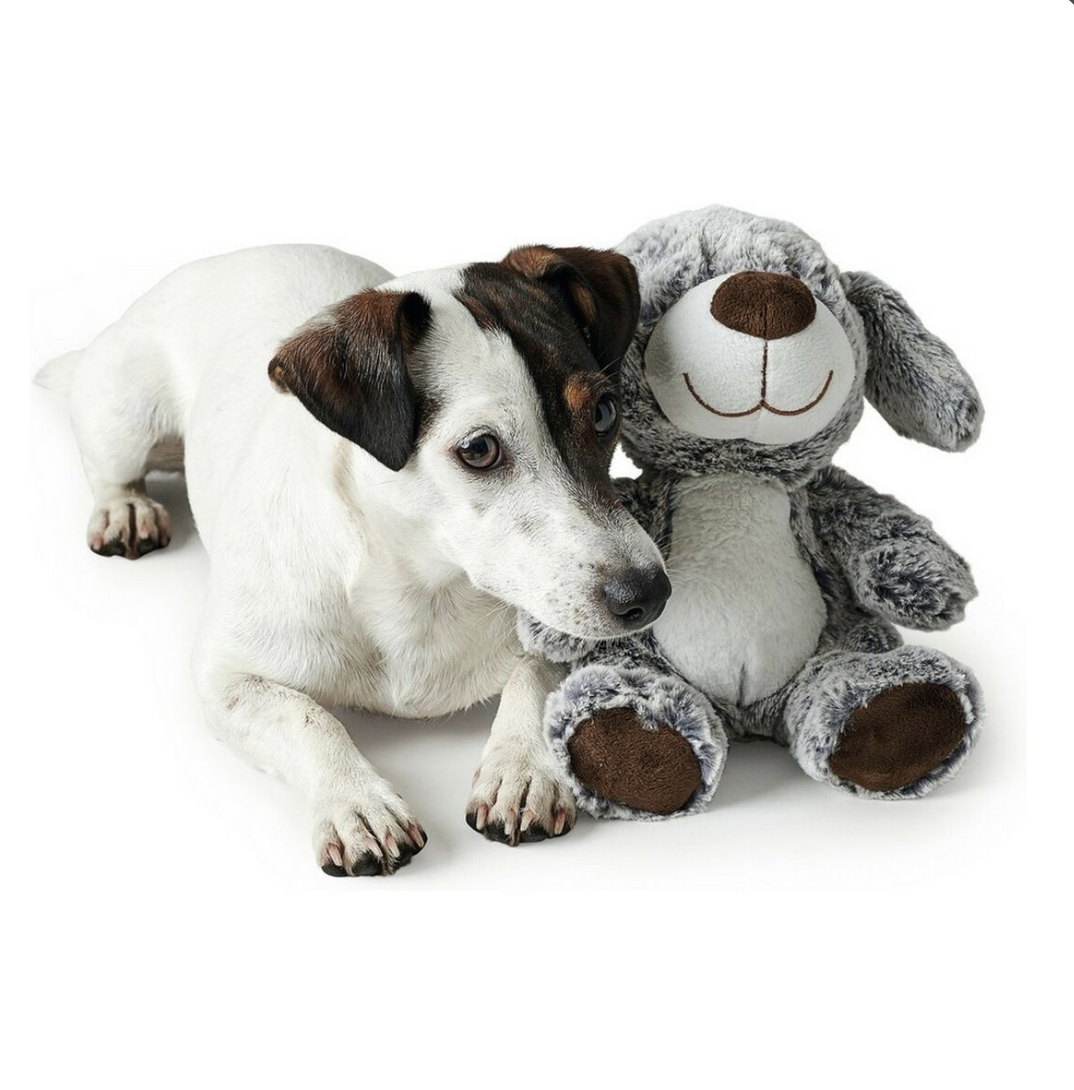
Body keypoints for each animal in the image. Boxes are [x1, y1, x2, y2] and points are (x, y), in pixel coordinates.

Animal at [36, 243, 671, 876]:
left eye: (605, 412)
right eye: (479, 449)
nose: (650, 594)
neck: (421, 583)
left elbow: (534, 675)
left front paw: (521, 769)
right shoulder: (226, 679)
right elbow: (308, 718)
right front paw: (355, 802)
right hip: (123, 418)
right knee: (110, 468)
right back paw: (125, 509)